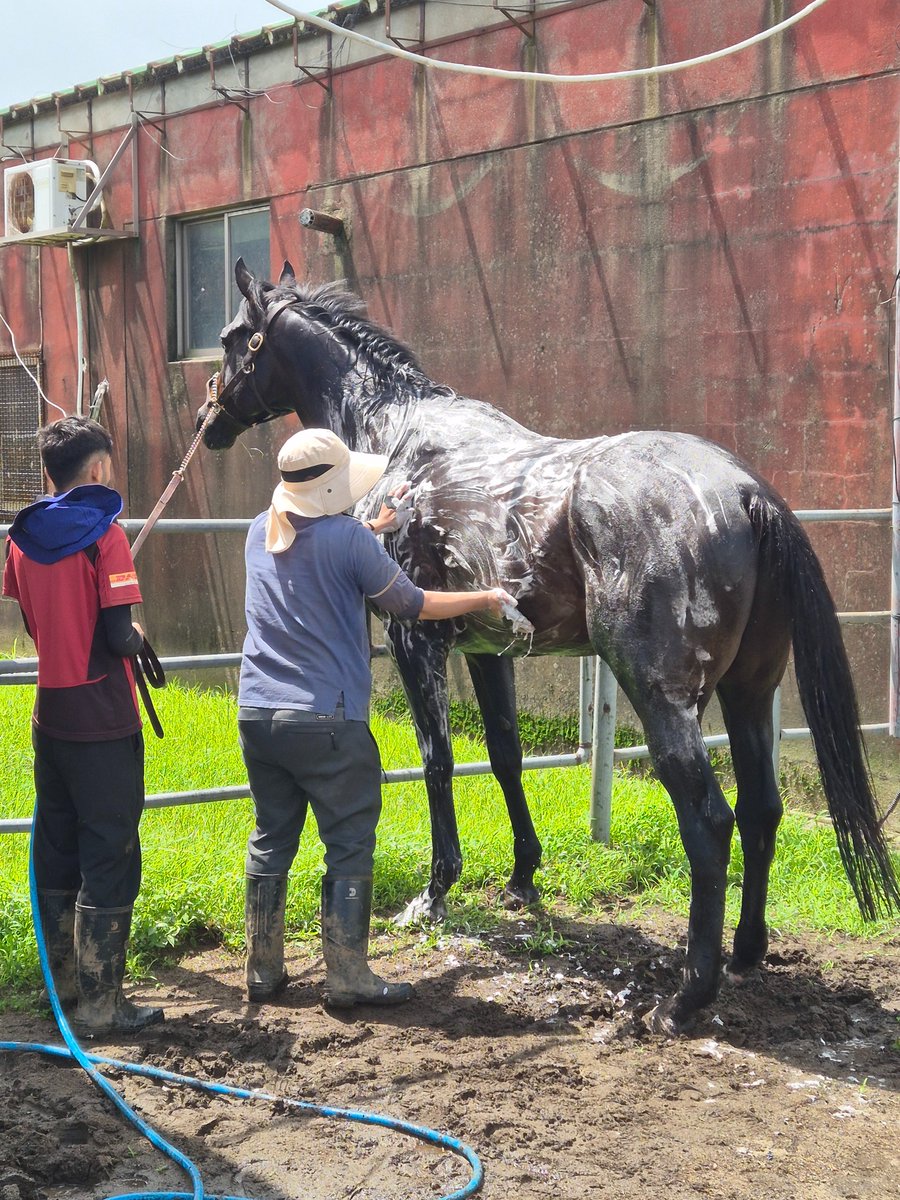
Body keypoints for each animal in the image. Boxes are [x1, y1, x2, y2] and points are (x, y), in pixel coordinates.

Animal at [197, 258, 899, 1035]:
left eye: (232, 338)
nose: (208, 423)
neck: (395, 435)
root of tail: (749, 495)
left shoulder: (416, 640)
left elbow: (438, 763)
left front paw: (435, 894)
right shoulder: (485, 650)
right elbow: (504, 756)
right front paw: (522, 878)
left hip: (664, 698)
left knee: (710, 822)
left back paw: (686, 998)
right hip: (749, 693)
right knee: (761, 809)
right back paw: (745, 953)